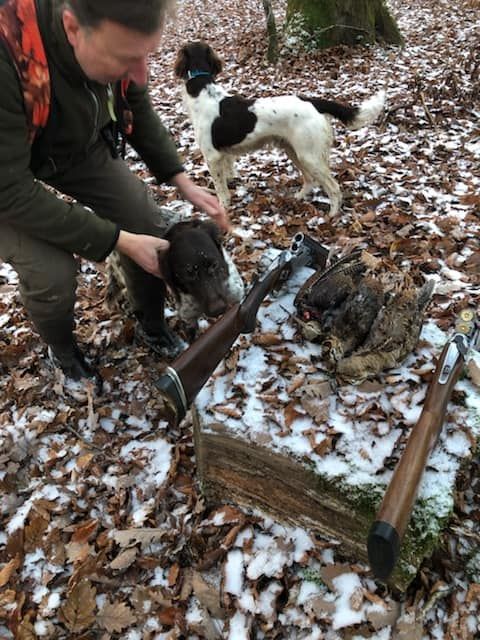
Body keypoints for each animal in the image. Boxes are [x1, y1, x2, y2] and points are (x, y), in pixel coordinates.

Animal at [175, 43, 386, 218]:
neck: (203, 88)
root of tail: (312, 102)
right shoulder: (225, 153)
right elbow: (229, 175)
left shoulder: (212, 156)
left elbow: (220, 188)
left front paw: (222, 207)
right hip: (294, 151)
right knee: (310, 180)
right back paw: (298, 197)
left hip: (309, 155)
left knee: (333, 187)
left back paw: (332, 215)